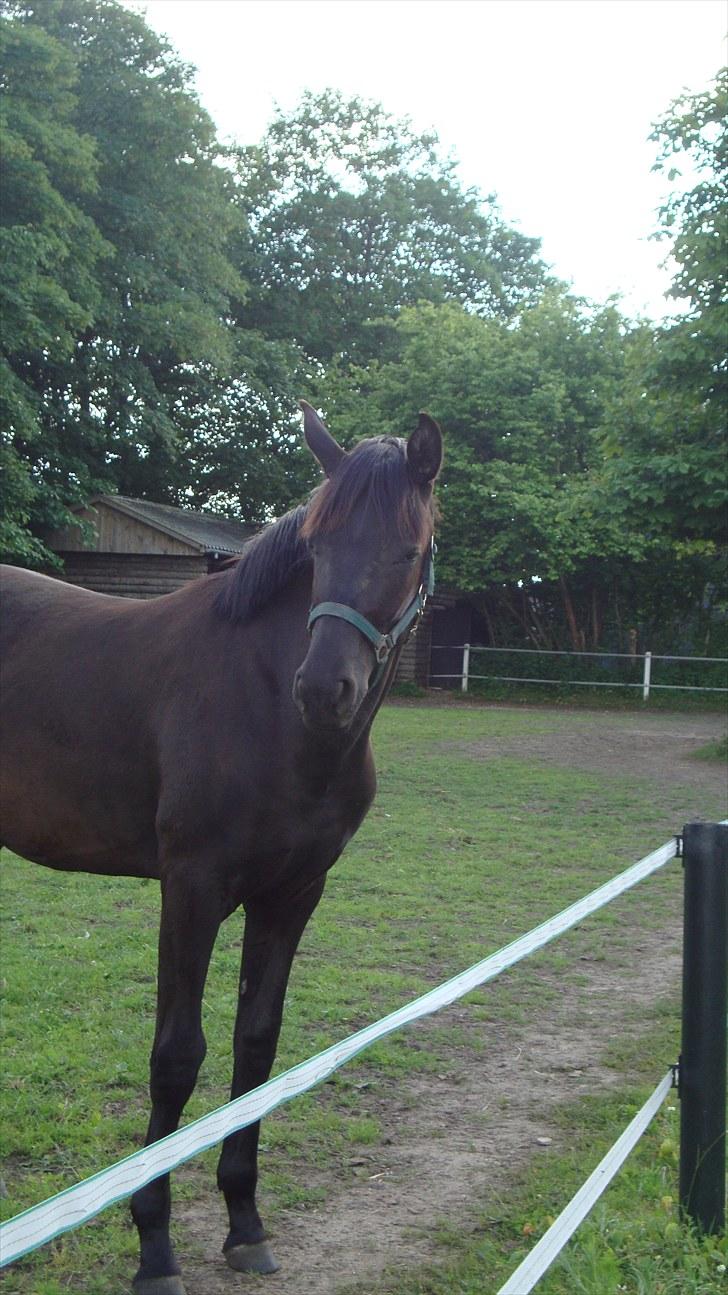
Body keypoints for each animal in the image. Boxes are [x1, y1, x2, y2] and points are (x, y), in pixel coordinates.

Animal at [0, 404, 443, 1295]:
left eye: (407, 551)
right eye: (319, 543)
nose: (325, 689)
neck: (267, 707)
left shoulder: (294, 894)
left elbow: (256, 1048)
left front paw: (245, 1222)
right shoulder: (192, 887)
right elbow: (178, 1055)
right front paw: (155, 1248)